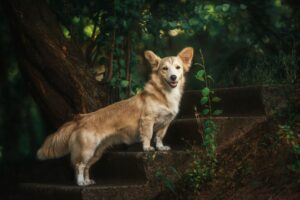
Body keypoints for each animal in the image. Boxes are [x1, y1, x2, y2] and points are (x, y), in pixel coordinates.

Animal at [37, 47, 195, 186]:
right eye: (164, 69)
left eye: (178, 68)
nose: (173, 77)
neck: (164, 94)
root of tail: (81, 119)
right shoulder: (147, 120)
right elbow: (148, 135)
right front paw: (147, 148)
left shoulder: (165, 123)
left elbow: (159, 136)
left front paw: (161, 147)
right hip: (86, 151)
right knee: (79, 166)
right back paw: (81, 182)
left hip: (96, 152)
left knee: (87, 166)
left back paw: (87, 181)